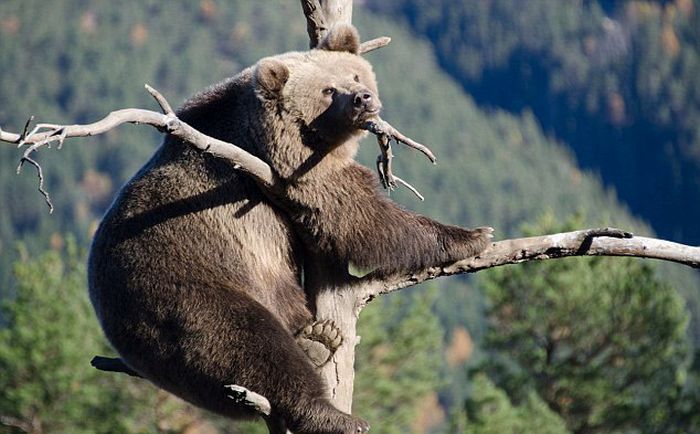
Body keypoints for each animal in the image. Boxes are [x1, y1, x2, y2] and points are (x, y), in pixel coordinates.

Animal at [87, 24, 492, 434]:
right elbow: (361, 220)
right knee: (249, 346)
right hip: (187, 288)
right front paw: (473, 236)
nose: (362, 99)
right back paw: (334, 411)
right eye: (328, 90)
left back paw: (319, 336)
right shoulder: (284, 177)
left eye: (355, 75)